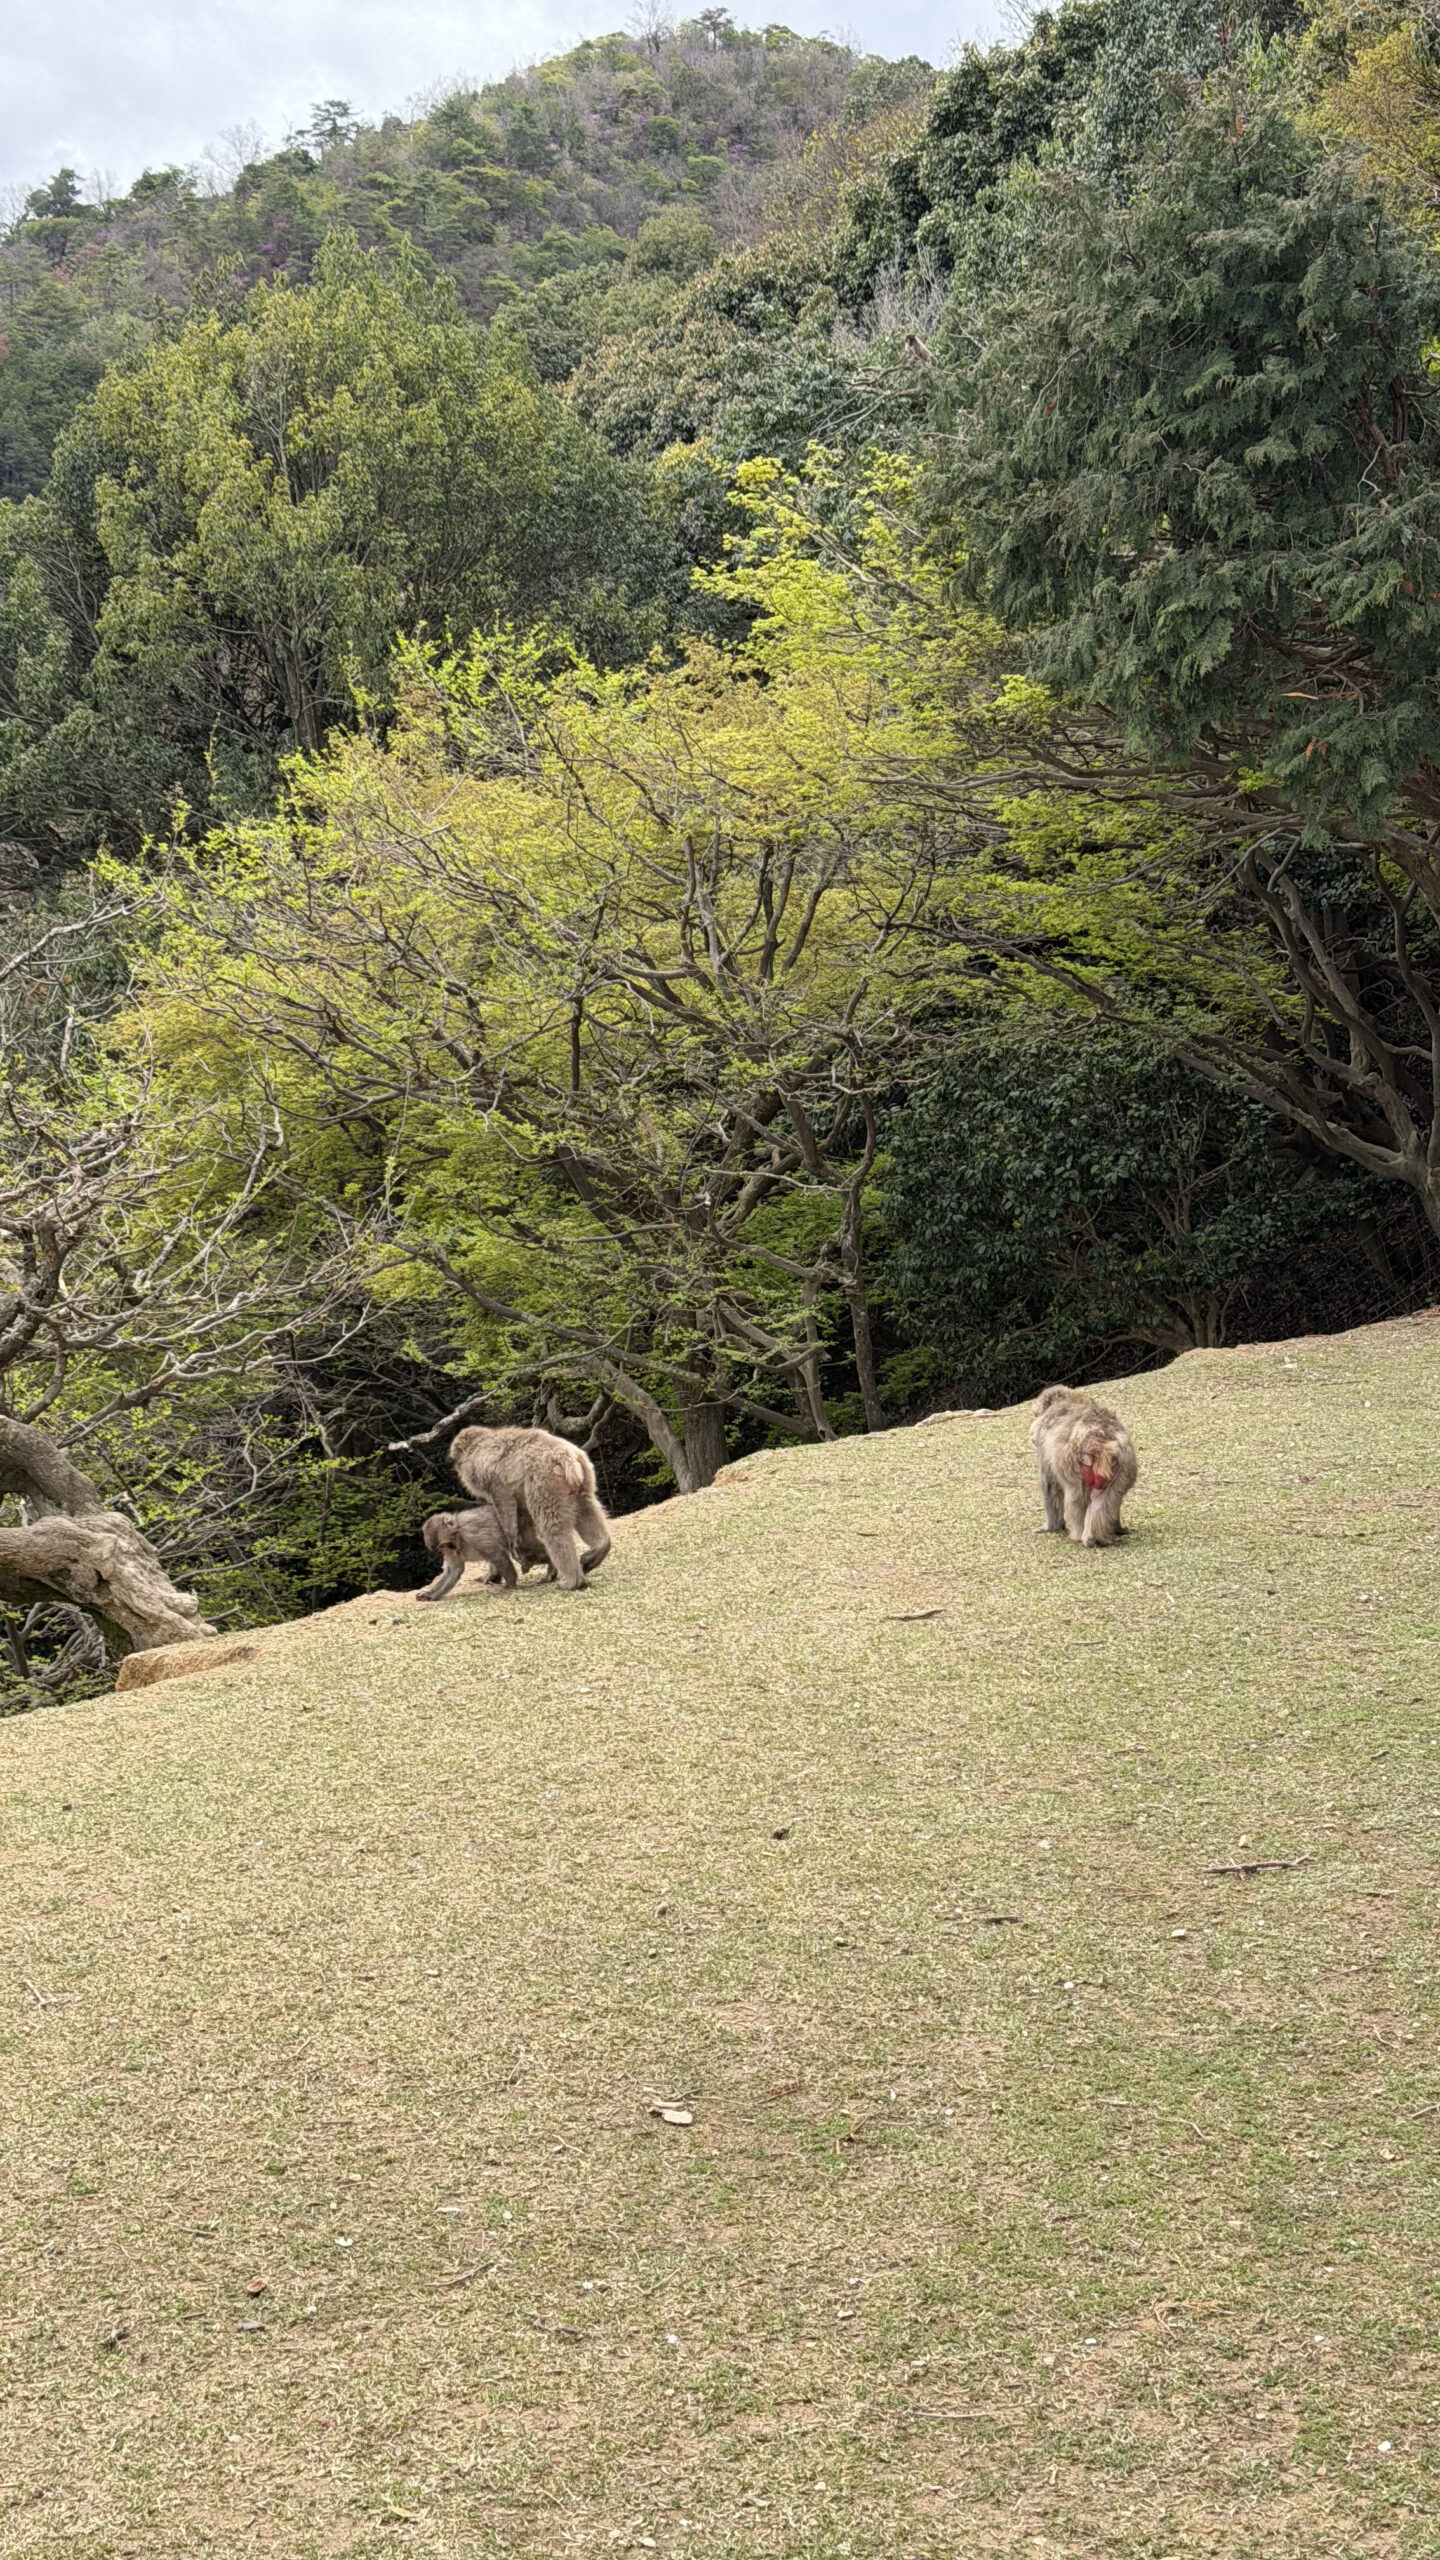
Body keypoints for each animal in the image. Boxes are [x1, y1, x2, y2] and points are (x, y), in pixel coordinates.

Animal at [448, 1424, 612, 1593]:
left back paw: (574, 1581)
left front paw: (510, 1546)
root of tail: (566, 1456)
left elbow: (502, 1498)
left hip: (545, 1480)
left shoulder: (485, 1475)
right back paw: (598, 1549)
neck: (477, 1444)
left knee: (552, 1527)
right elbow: (520, 1515)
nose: (456, 1468)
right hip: (581, 1477)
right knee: (586, 1508)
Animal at [1030, 1386, 1138, 1548]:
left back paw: (1080, 1534)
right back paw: (1099, 1536)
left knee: (1077, 1498)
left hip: (1075, 1465)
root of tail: (1101, 1440)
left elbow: (1050, 1486)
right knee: (1106, 1498)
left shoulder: (1044, 1449)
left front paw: (1051, 1527)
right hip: (1123, 1465)